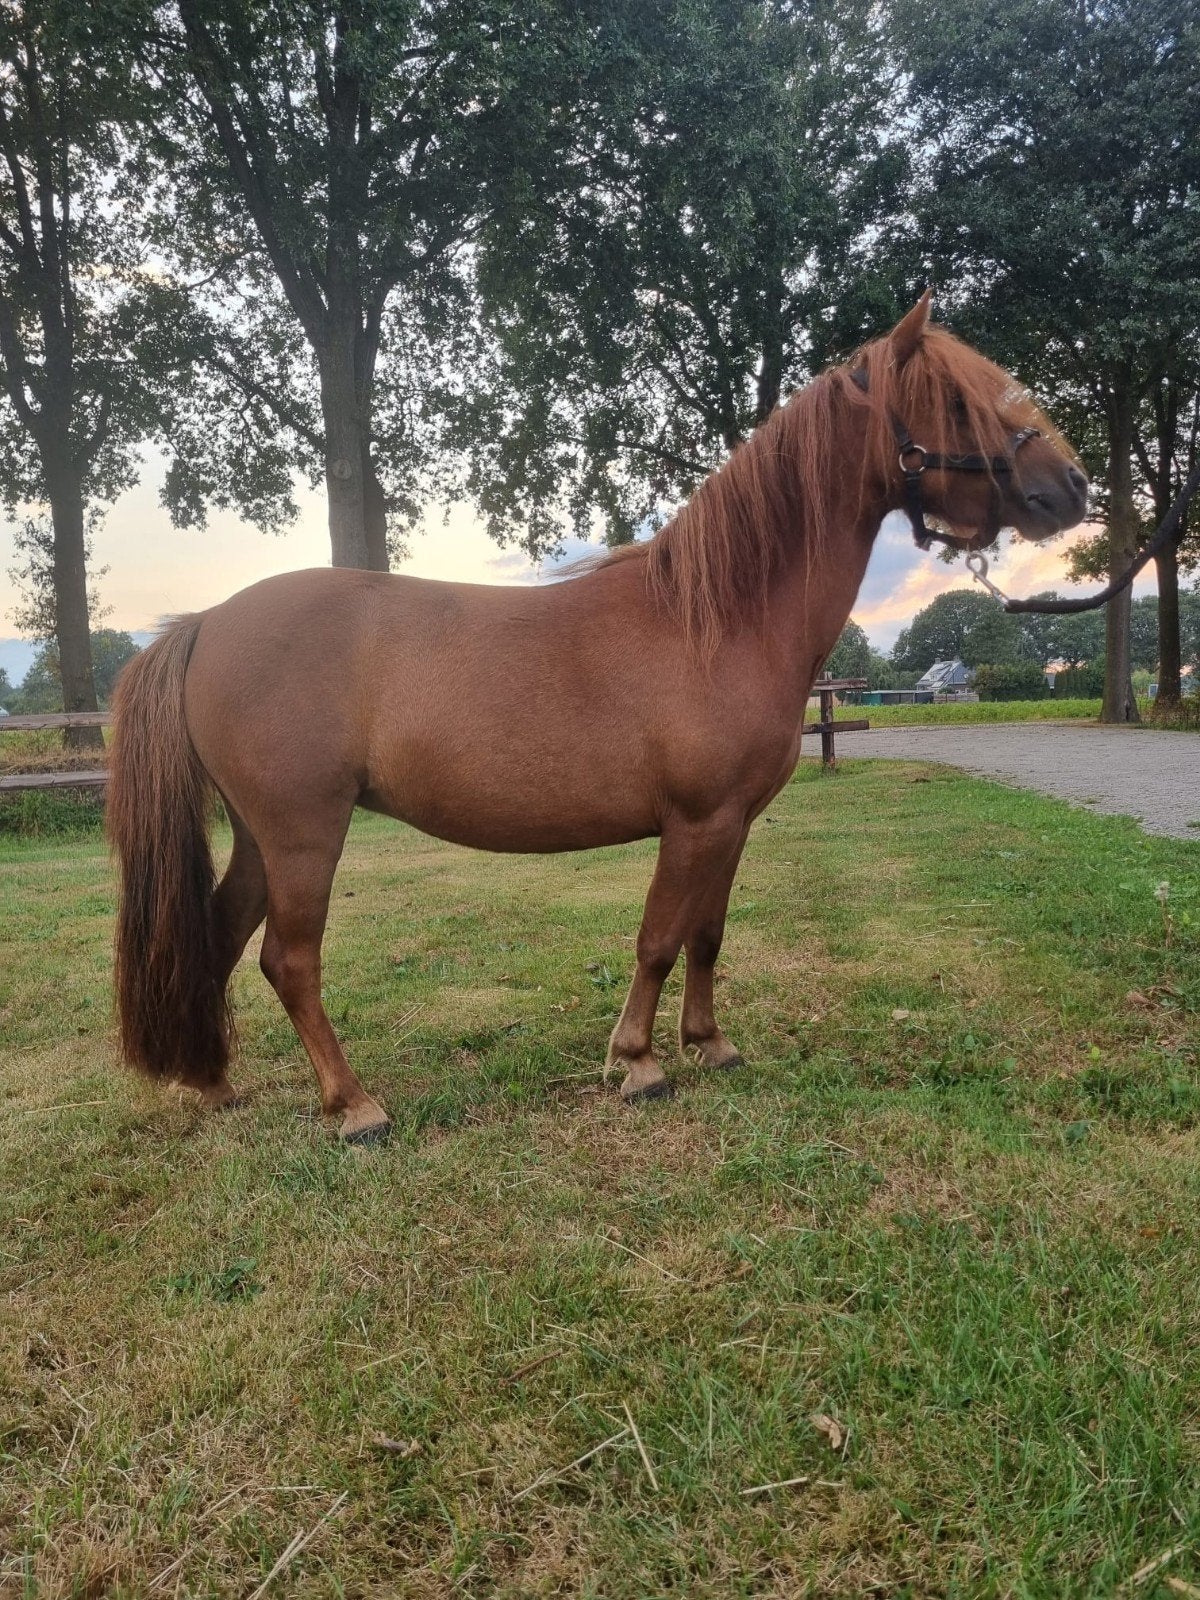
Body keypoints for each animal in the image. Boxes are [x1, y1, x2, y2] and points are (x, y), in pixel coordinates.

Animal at [107, 294, 1088, 1141]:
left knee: (221, 937)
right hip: (304, 832)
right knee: (289, 961)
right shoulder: (693, 822)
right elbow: (657, 939)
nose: (1071, 487)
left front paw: (710, 1045)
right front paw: (640, 1063)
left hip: (262, 837)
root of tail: (204, 625)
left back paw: (214, 1083)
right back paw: (354, 1108)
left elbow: (706, 935)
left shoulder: (731, 822)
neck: (716, 618)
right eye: (958, 398)